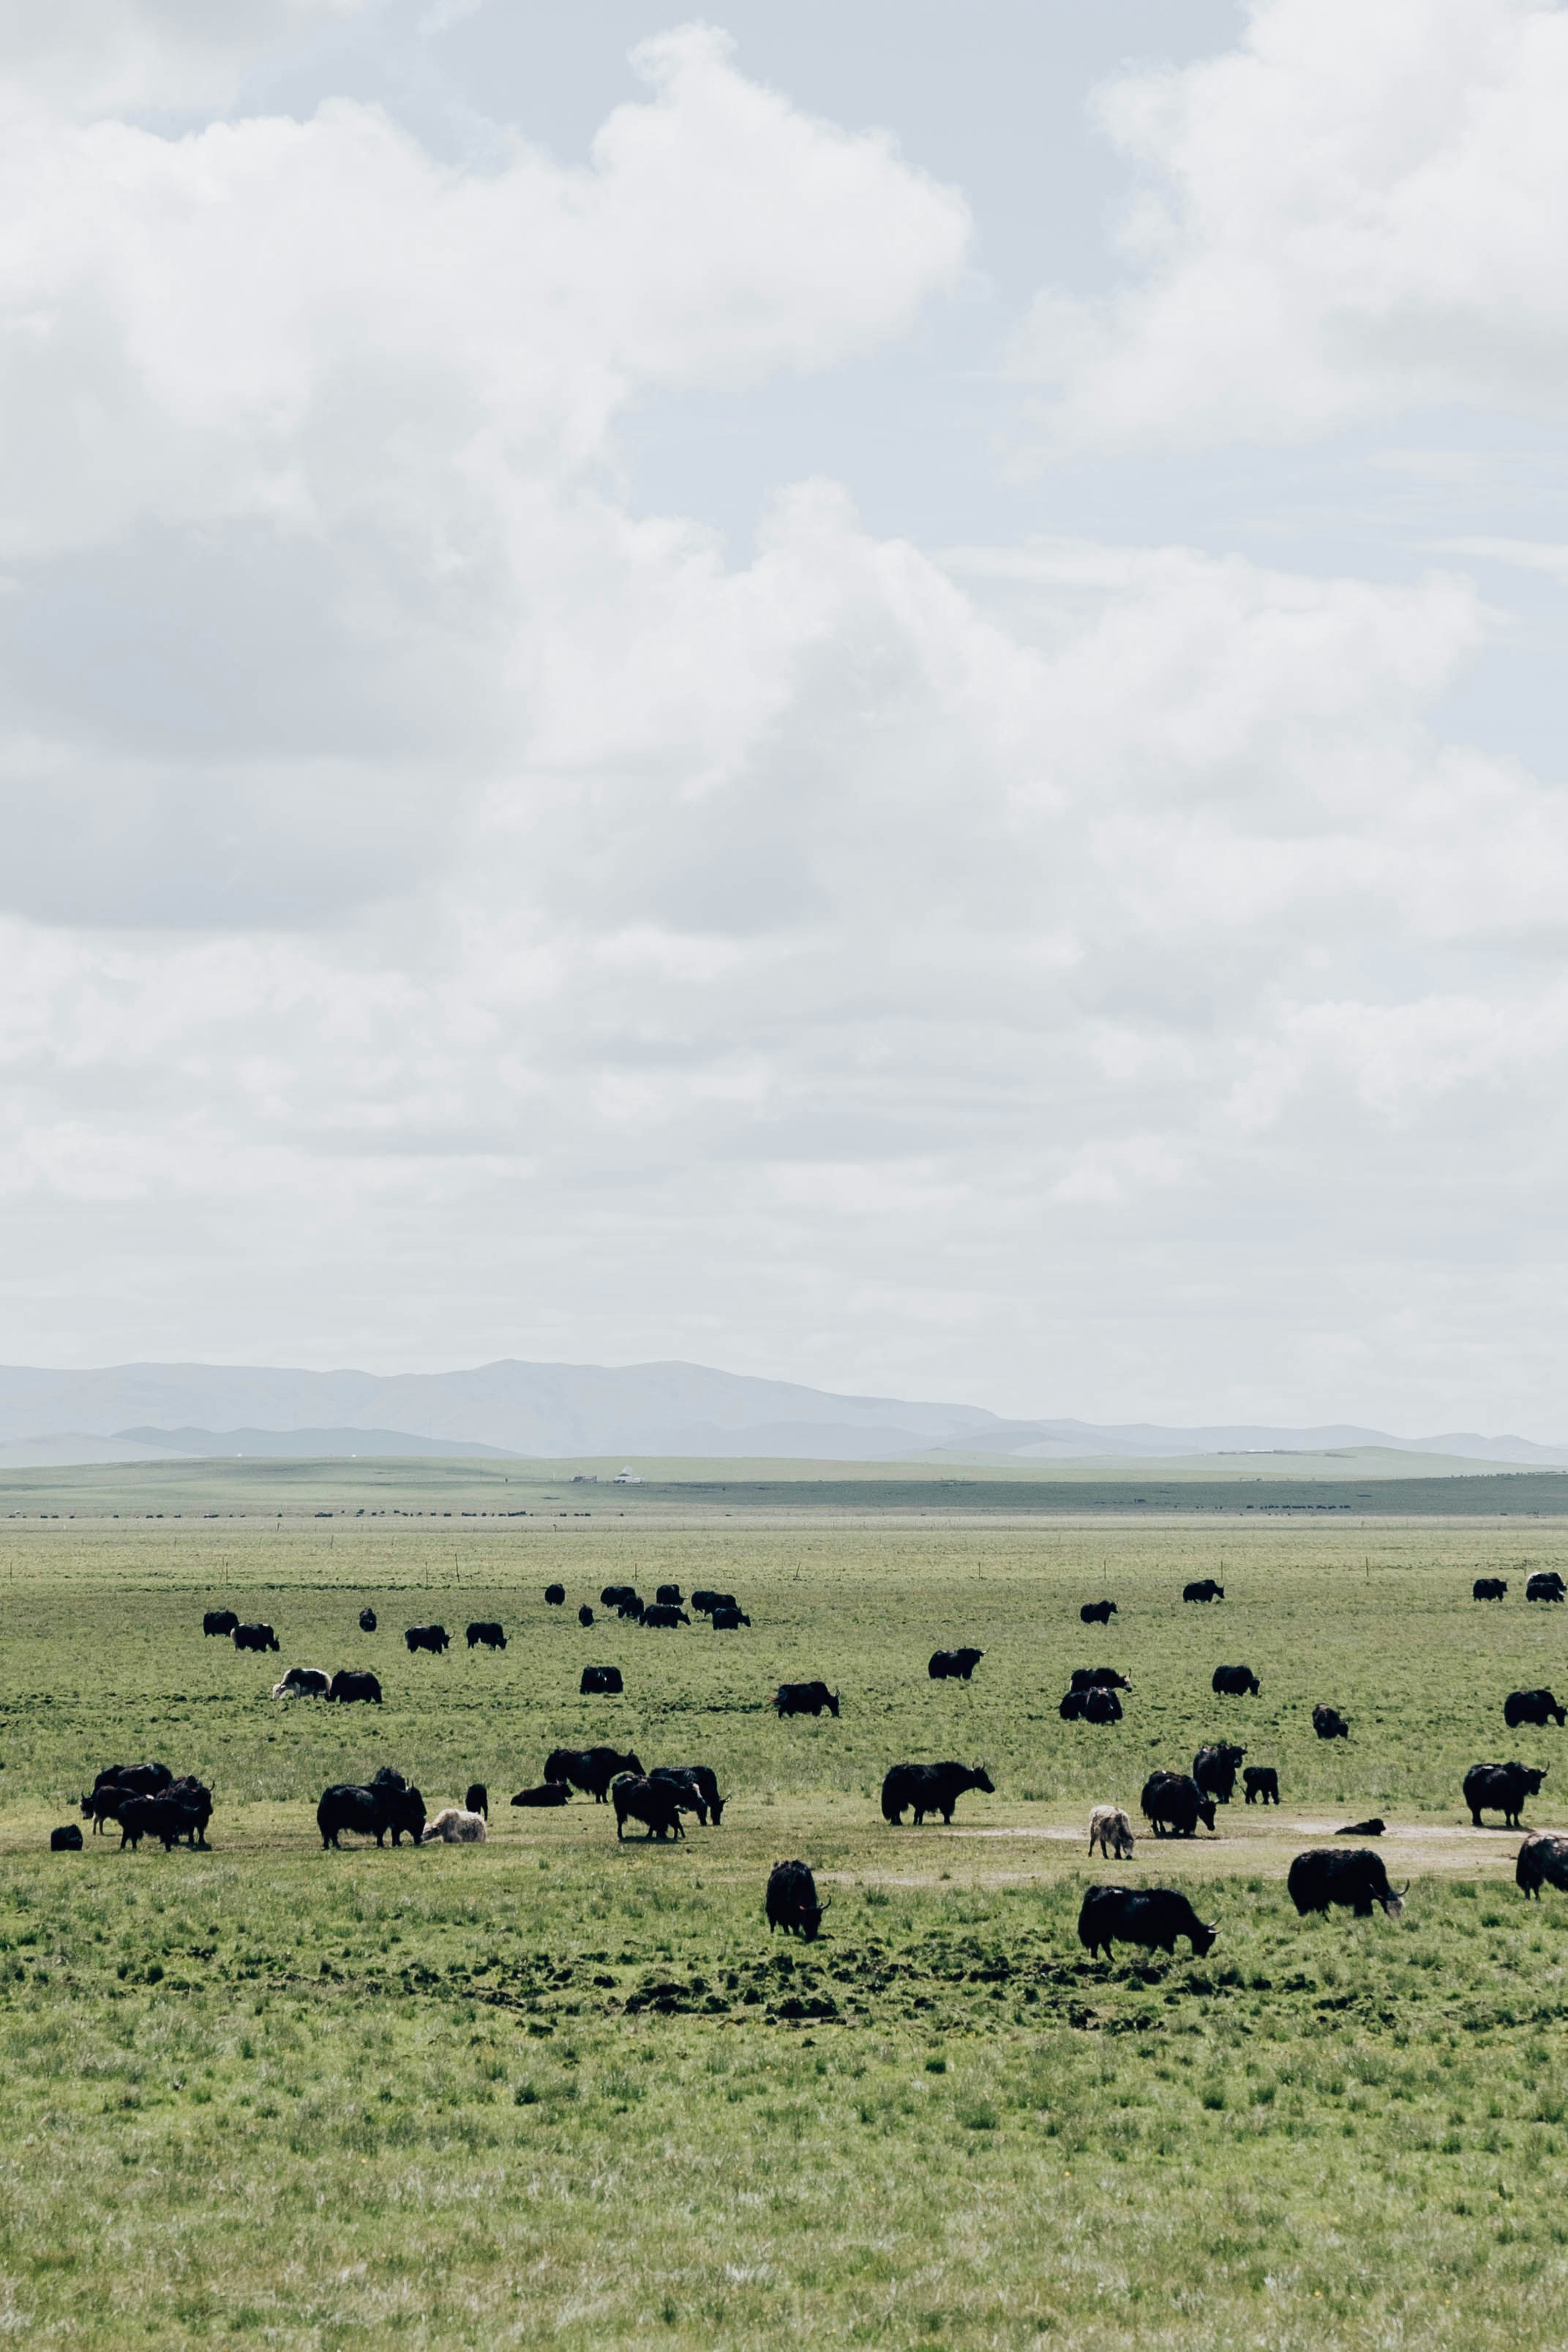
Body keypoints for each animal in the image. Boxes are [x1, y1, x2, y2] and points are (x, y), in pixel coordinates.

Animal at [317, 1772, 426, 1849]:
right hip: (332, 1823)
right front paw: (381, 1845)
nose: (425, 1812)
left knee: (330, 1835)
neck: (396, 1798)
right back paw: (334, 1846)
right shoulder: (383, 1823)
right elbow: (381, 1834)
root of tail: (328, 1792)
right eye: (416, 1798)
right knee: (331, 1835)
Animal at [544, 1746, 644, 1802]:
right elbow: (602, 1792)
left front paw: (599, 1801)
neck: (613, 1761)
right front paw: (604, 1801)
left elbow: (600, 1792)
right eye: (635, 1762)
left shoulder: (601, 1782)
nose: (643, 1772)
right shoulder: (603, 1781)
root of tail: (554, 1755)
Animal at [880, 1761, 994, 1826]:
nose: (993, 1788)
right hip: (897, 1800)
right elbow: (946, 1813)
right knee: (896, 1812)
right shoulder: (947, 1801)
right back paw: (898, 1823)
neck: (957, 1776)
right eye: (983, 1776)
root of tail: (891, 1773)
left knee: (896, 1812)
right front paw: (948, 1822)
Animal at [1078, 1885, 1217, 1961]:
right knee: (1100, 1946)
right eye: (1206, 1939)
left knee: (1101, 1946)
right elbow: (1170, 1950)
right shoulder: (1166, 1937)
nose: (1201, 1956)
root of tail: (1095, 1892)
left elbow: (1155, 1948)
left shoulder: (1160, 1938)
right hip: (1100, 1932)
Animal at [1287, 1849, 1405, 1918]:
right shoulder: (1362, 1900)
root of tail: (1296, 1862)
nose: (1396, 1919)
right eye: (1387, 1907)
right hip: (1304, 1900)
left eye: (1400, 1906)